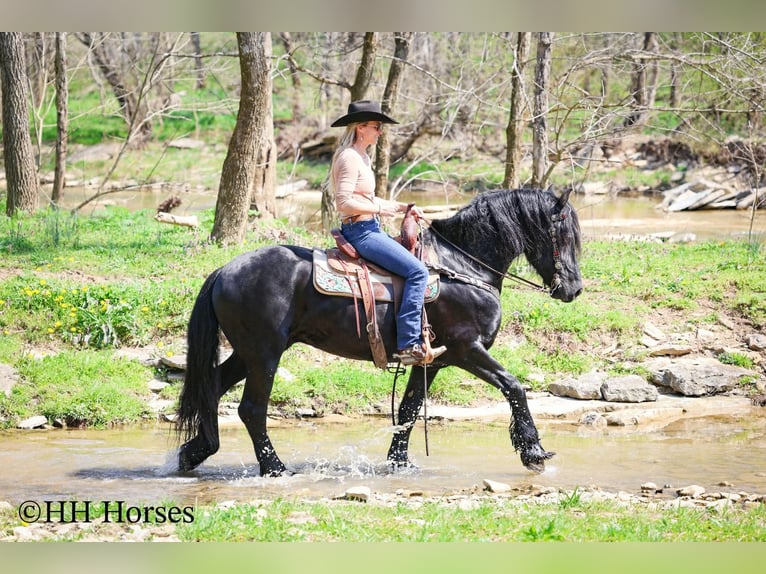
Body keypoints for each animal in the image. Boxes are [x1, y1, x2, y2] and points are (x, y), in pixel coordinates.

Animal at [176, 187, 583, 476]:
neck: (462, 266)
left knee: (212, 388)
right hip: (264, 354)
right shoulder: (467, 350)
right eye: (562, 235)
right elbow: (514, 386)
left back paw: (194, 452)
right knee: (252, 409)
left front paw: (399, 463)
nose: (574, 290)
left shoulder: (433, 361)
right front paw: (534, 452)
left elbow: (408, 410)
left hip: (246, 353)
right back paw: (274, 468)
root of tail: (224, 271)